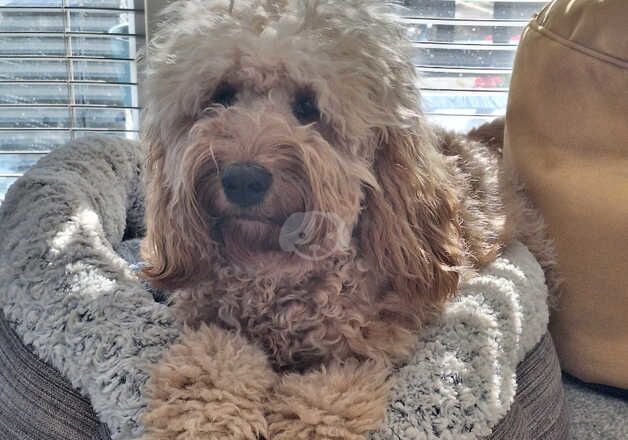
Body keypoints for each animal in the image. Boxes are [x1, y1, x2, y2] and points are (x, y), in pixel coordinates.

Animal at [137, 1, 556, 438]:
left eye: (308, 107)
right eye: (222, 95)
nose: (243, 179)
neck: (271, 272)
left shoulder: (356, 358)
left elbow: (317, 407)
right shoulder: (210, 329)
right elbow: (209, 372)